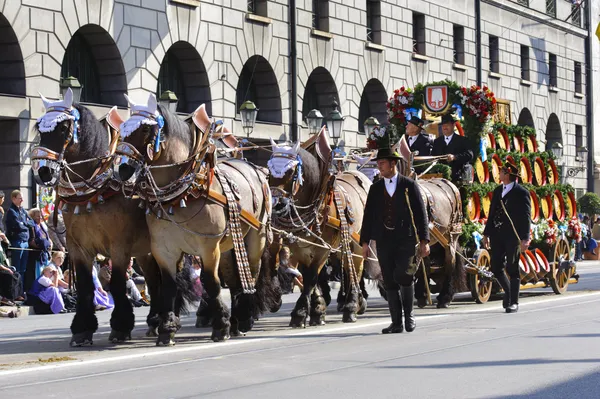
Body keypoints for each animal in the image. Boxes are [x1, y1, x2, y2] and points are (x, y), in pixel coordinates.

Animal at [30, 89, 162, 346]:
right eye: (40, 128)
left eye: (64, 127)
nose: (43, 171)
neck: (93, 192)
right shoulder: (78, 246)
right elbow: (85, 286)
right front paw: (82, 329)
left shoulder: (120, 246)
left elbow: (118, 283)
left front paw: (120, 326)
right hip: (146, 251)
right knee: (154, 280)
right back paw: (155, 321)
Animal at [114, 94, 278, 344]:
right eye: (122, 129)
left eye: (146, 130)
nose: (123, 170)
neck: (181, 195)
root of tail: (253, 167)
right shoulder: (164, 249)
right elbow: (168, 286)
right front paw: (167, 329)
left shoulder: (208, 247)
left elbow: (211, 283)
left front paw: (220, 326)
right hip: (229, 244)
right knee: (234, 278)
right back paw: (236, 320)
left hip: (255, 237)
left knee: (252, 271)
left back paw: (244, 316)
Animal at [268, 130, 370, 326]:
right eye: (269, 171)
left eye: (291, 171)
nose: (277, 204)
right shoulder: (298, 247)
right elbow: (309, 276)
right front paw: (317, 309)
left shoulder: (323, 248)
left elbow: (311, 277)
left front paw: (301, 312)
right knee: (348, 268)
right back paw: (356, 301)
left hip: (358, 242)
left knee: (356, 267)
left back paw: (352, 304)